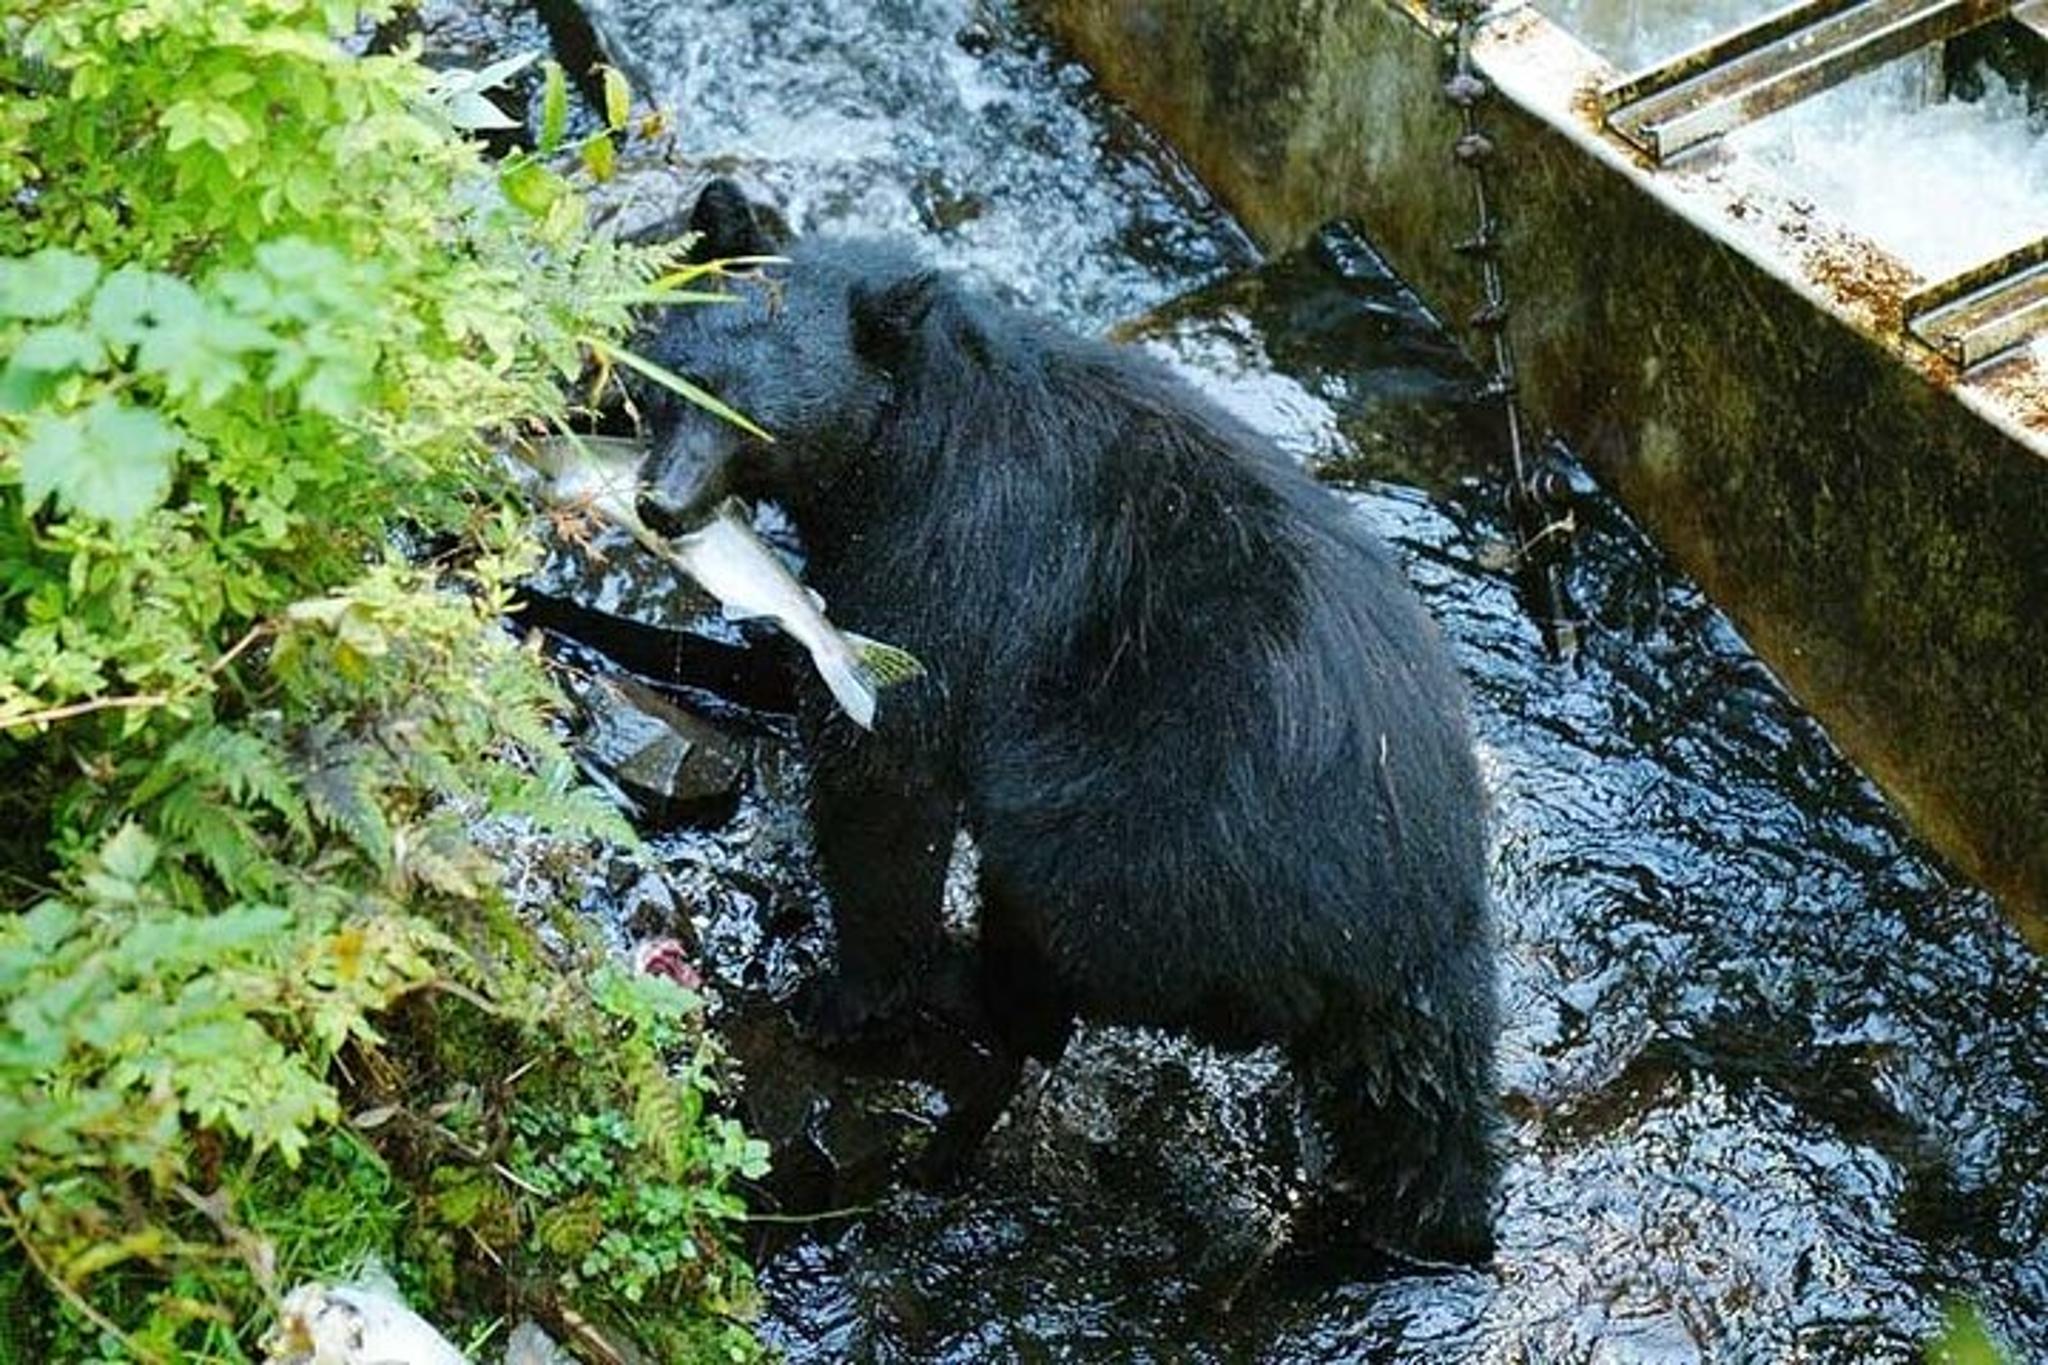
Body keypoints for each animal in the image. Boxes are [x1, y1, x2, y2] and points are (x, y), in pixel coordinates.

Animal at [635, 179, 1501, 1266]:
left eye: (755, 422)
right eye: (679, 379)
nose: (662, 505)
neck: (907, 431)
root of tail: (1415, 933)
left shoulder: (948, 561)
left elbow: (889, 766)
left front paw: (840, 994)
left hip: (1139, 839)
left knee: (1047, 937)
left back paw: (970, 984)